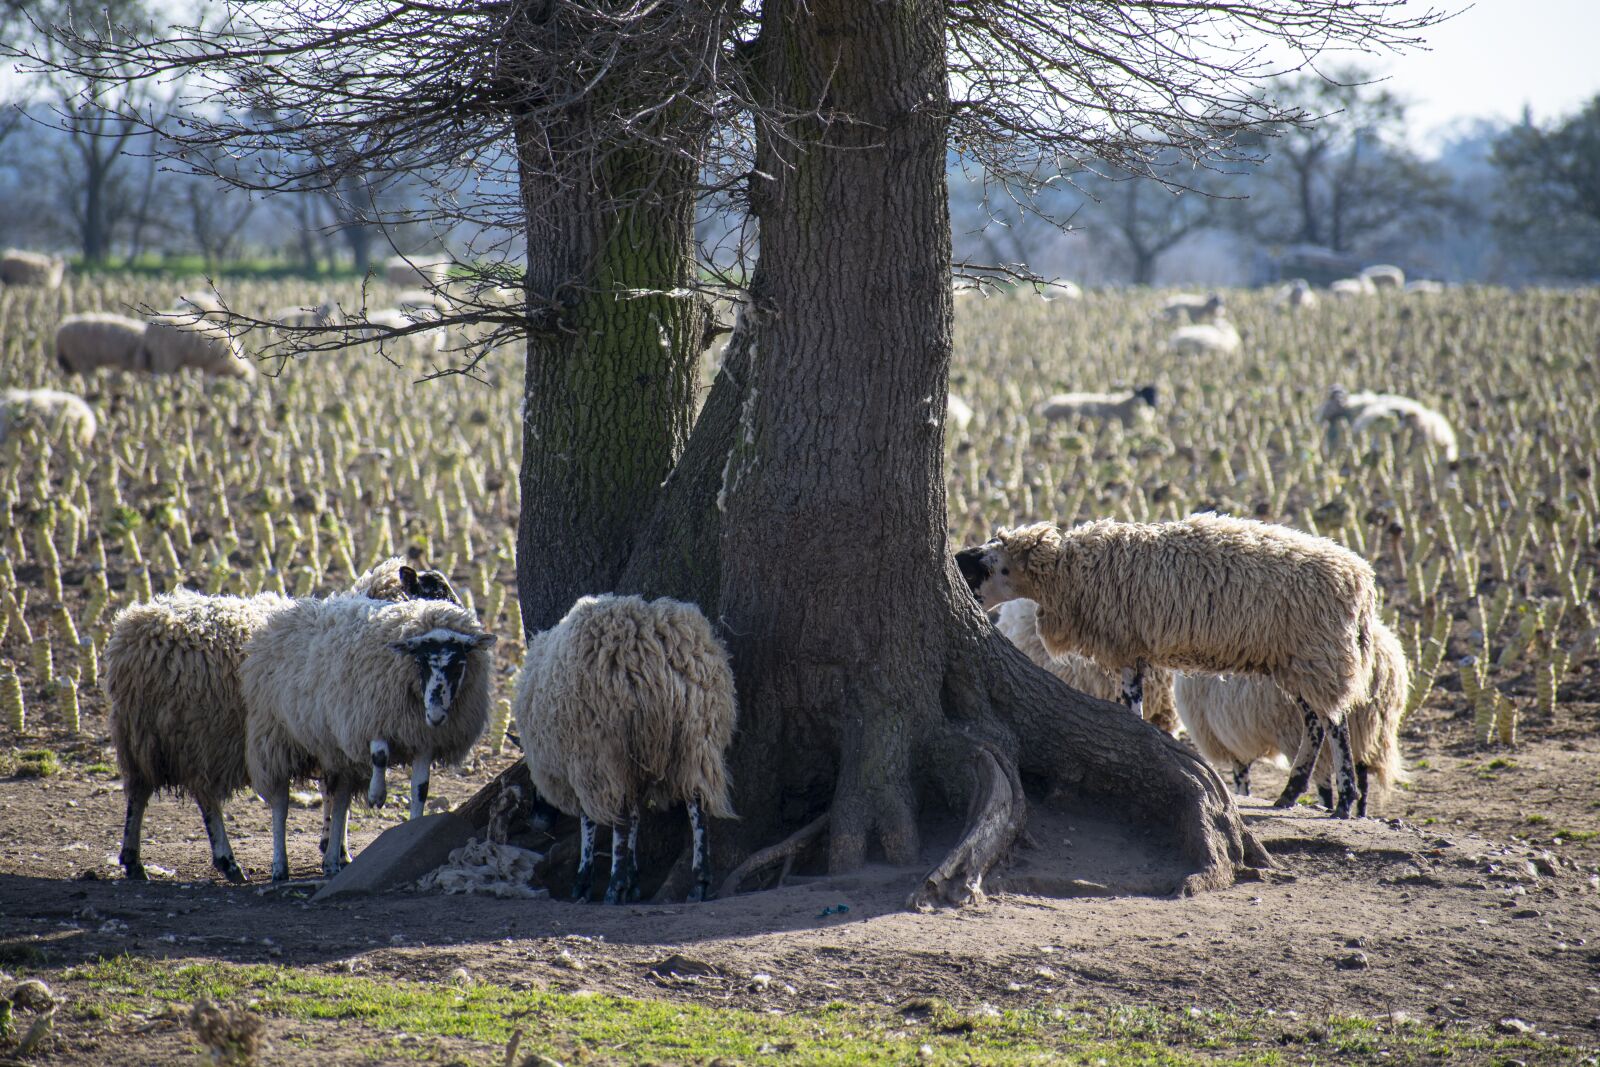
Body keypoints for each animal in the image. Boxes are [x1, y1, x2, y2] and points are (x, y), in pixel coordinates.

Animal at [104, 560, 460, 883]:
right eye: (435, 592)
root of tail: (136, 632)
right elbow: (336, 795)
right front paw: (336, 852)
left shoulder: (327, 734)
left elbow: (331, 794)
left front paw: (333, 846)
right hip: (196, 731)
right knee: (202, 795)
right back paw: (226, 861)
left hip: (144, 732)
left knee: (138, 790)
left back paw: (134, 860)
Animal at [242, 595, 496, 880]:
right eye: (420, 663)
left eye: (459, 666)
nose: (436, 715)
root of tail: (288, 611)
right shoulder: (365, 719)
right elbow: (380, 754)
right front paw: (377, 796)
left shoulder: (423, 740)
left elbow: (420, 789)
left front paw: (415, 826)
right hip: (275, 738)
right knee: (280, 803)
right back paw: (279, 866)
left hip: (334, 752)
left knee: (339, 801)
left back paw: (333, 861)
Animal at [513, 594, 737, 904]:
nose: (537, 821)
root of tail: (652, 647)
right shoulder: (634, 765)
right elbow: (635, 816)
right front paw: (633, 880)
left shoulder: (584, 760)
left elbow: (592, 820)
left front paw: (588, 881)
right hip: (696, 734)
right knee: (697, 804)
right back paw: (699, 882)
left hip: (610, 746)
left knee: (619, 818)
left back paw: (613, 887)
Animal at [1173, 617, 1408, 815]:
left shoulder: (1233, 741)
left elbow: (1241, 777)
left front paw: (1241, 795)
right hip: (1369, 733)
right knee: (1362, 777)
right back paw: (1357, 812)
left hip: (1302, 721)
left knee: (1325, 766)